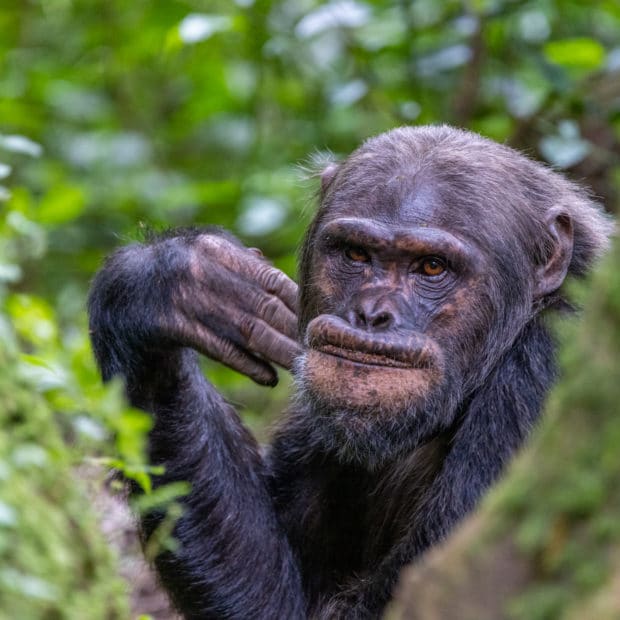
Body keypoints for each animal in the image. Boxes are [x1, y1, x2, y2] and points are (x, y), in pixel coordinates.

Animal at [89, 123, 612, 616]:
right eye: (356, 254)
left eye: (432, 267)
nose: (372, 313)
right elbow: (274, 594)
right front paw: (174, 283)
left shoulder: (543, 377)